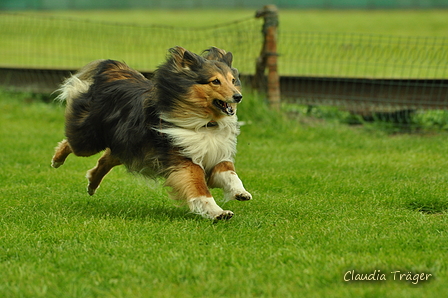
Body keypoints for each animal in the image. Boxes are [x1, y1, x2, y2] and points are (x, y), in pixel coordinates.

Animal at [52, 46, 252, 219]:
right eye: (215, 81)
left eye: (233, 80)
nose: (238, 97)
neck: (205, 124)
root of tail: (114, 71)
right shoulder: (184, 159)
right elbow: (199, 189)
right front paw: (218, 212)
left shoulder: (215, 155)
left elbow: (230, 173)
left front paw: (241, 192)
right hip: (89, 140)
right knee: (71, 143)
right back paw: (57, 160)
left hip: (129, 145)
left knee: (106, 158)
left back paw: (92, 184)